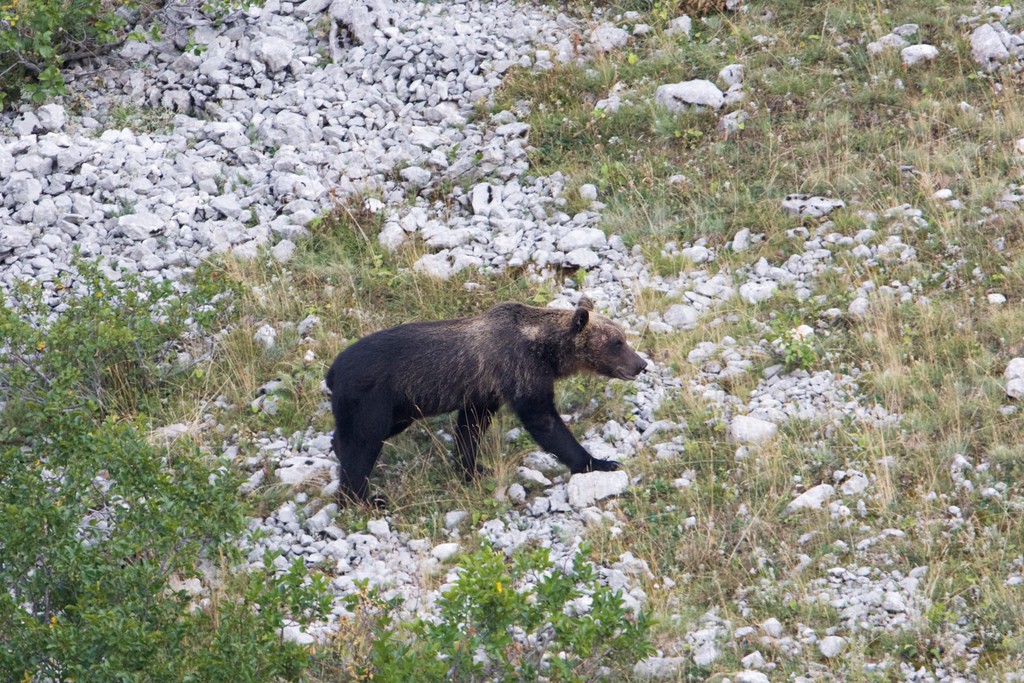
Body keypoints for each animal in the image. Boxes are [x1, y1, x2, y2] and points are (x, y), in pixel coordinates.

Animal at [325, 296, 647, 501]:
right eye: (616, 342)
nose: (641, 364)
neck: (544, 350)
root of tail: (332, 371)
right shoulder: (519, 371)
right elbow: (543, 420)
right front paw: (599, 461)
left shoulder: (484, 391)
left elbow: (471, 428)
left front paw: (474, 469)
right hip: (372, 397)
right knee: (364, 441)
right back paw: (362, 498)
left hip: (398, 408)